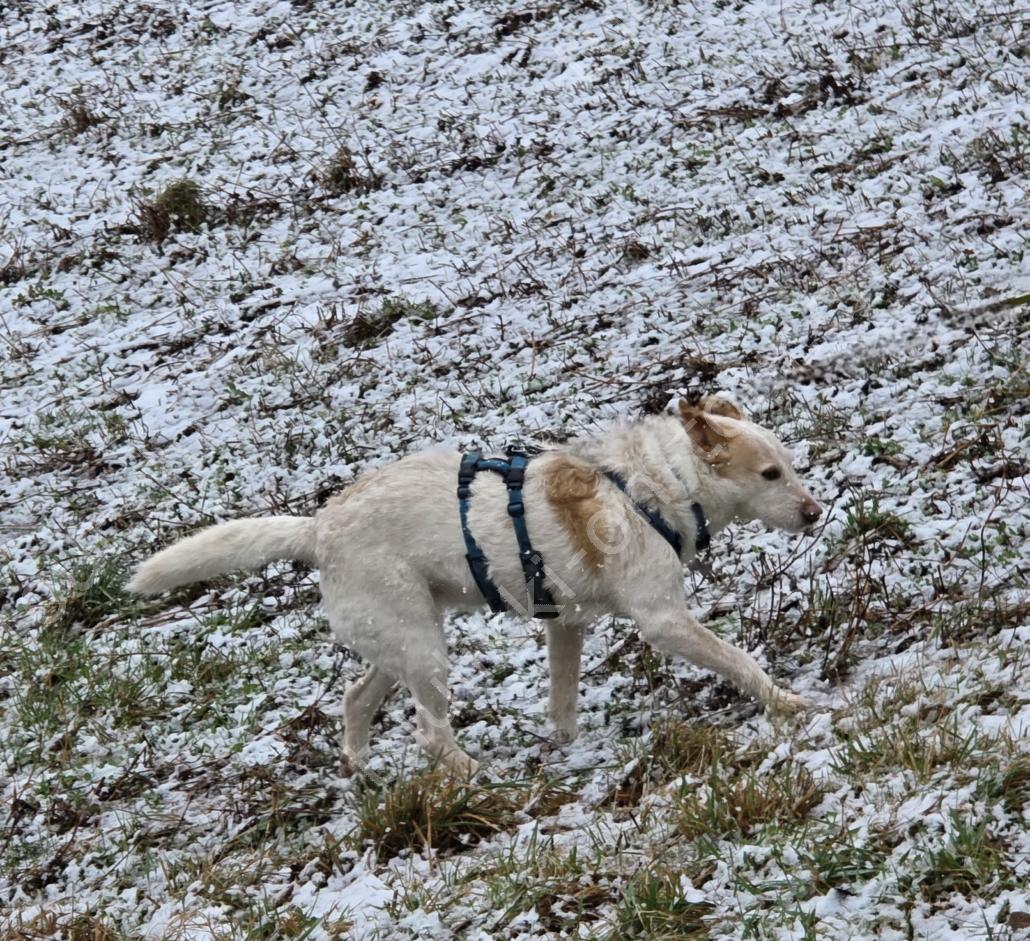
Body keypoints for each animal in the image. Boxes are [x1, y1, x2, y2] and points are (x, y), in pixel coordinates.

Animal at [129, 395, 822, 776]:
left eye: (790, 466)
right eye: (769, 473)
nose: (817, 513)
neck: (660, 483)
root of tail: (320, 527)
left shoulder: (566, 625)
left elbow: (562, 701)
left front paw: (568, 747)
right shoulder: (664, 621)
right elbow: (739, 660)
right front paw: (787, 702)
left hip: (402, 644)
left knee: (356, 698)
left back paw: (360, 769)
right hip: (424, 651)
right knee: (430, 734)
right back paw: (474, 775)